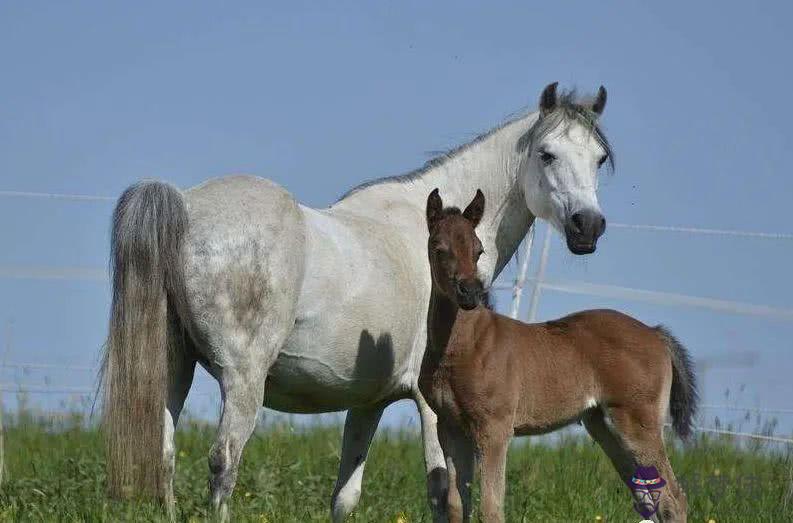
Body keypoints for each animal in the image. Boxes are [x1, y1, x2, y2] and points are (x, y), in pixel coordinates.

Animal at [100, 82, 612, 520]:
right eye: (547, 154)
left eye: (600, 158)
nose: (588, 225)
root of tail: (185, 207)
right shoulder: (433, 407)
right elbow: (446, 494)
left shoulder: (368, 403)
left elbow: (345, 497)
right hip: (243, 380)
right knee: (224, 462)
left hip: (174, 368)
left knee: (164, 453)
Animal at [418, 189, 696, 523]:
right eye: (438, 248)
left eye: (479, 250)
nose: (470, 292)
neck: (464, 346)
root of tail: (655, 333)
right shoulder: (450, 426)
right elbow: (457, 505)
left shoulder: (494, 428)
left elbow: (491, 508)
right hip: (604, 425)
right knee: (648, 497)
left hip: (638, 422)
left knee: (674, 500)